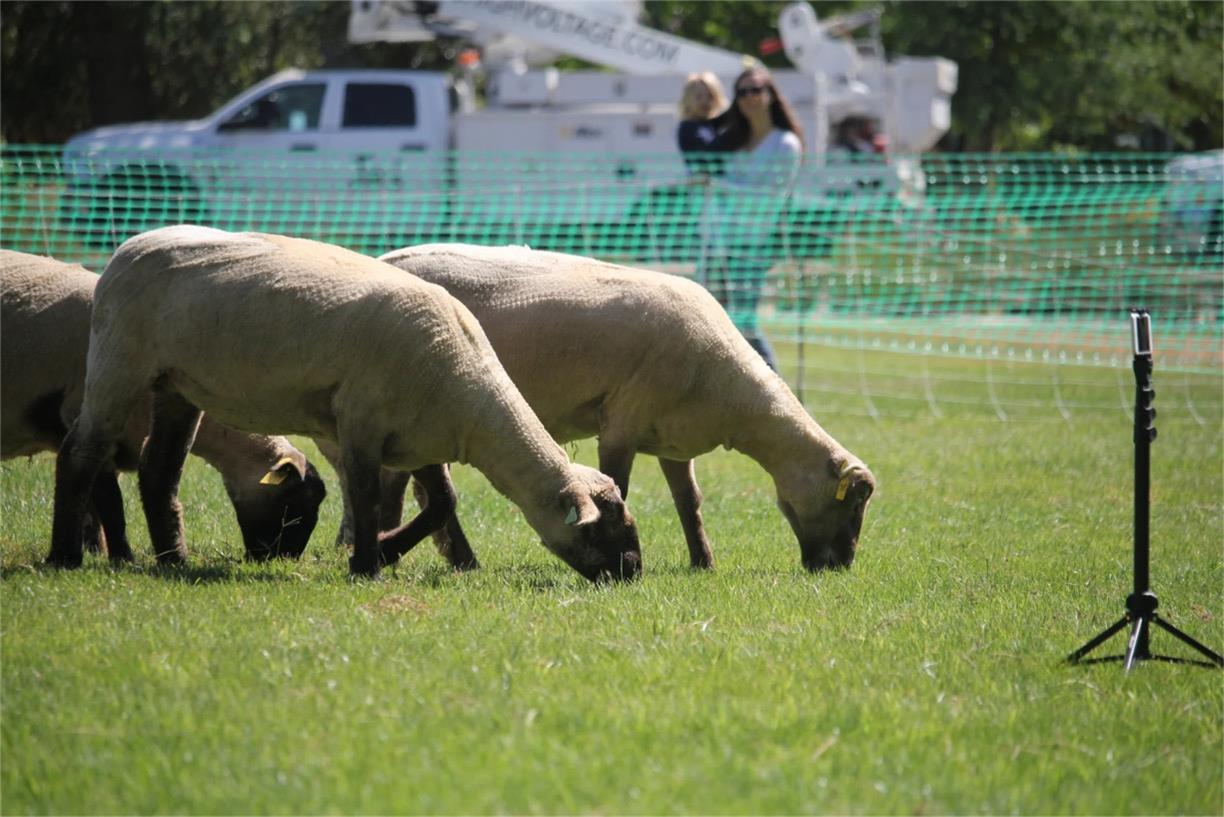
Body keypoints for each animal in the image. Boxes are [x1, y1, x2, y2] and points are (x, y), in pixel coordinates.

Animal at [0, 251, 328, 563]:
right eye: (296, 500)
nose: (283, 558)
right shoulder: (85, 420)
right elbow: (109, 503)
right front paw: (122, 556)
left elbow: (95, 505)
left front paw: (96, 549)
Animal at [47, 226, 641, 580]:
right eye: (601, 528)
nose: (633, 571)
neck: (471, 396)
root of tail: (133, 244)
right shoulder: (360, 422)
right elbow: (367, 495)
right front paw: (367, 564)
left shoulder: (420, 437)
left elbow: (442, 502)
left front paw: (388, 548)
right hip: (119, 360)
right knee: (82, 451)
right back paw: (65, 557)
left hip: (176, 385)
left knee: (159, 472)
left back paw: (175, 560)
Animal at [376, 246, 876, 573]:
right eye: (854, 503)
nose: (840, 566)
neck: (731, 394)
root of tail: (386, 259)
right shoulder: (622, 423)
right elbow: (620, 486)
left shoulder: (675, 442)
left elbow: (689, 503)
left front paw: (703, 563)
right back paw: (439, 555)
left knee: (397, 480)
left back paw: (388, 543)